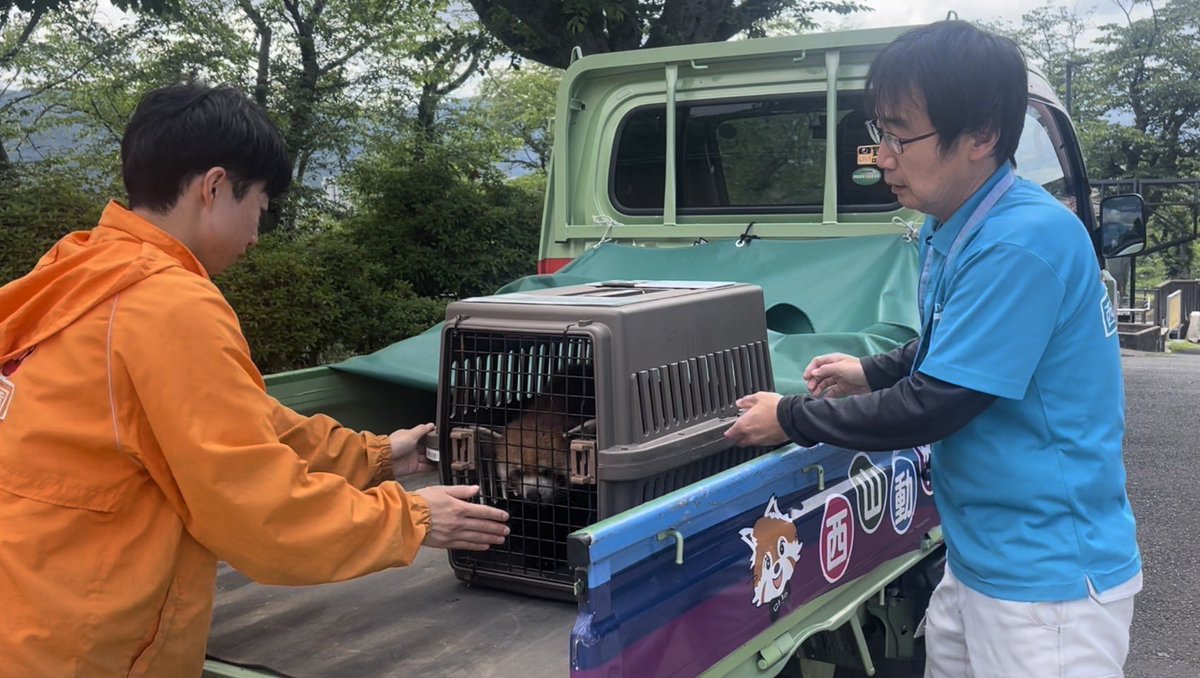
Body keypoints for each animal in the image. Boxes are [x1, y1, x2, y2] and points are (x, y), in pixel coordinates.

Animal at [436, 280, 772, 597]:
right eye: (518, 472)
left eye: (548, 471)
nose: (533, 494)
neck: (547, 411)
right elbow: (531, 520)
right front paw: (533, 549)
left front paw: (551, 554)